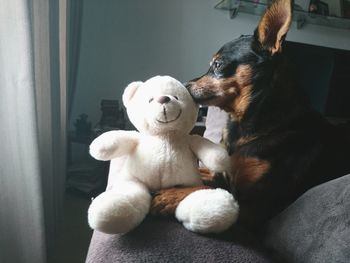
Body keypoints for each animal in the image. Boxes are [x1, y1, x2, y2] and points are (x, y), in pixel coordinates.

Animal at [152, 0, 350, 231]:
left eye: (218, 64)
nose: (181, 86)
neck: (242, 125)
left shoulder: (257, 205)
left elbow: (206, 189)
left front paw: (170, 195)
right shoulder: (220, 175)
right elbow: (201, 177)